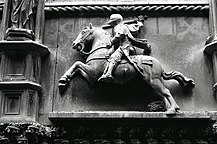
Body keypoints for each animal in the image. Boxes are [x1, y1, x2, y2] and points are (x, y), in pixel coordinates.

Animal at [58, 23, 195, 115]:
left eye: (83, 31)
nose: (74, 44)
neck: (101, 51)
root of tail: (158, 64)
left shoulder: (92, 73)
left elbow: (76, 63)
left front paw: (63, 79)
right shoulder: (90, 75)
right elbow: (77, 66)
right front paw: (64, 79)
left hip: (153, 81)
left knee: (166, 91)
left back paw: (173, 110)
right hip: (152, 83)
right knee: (163, 95)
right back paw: (168, 109)